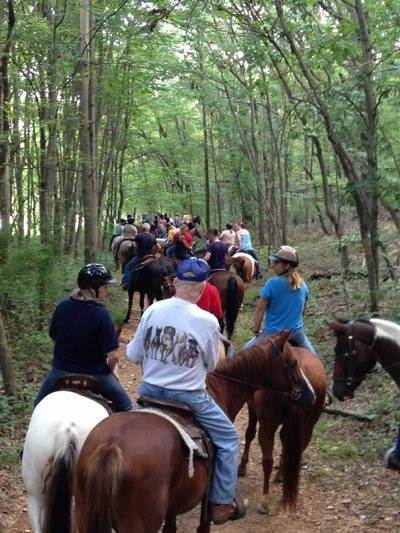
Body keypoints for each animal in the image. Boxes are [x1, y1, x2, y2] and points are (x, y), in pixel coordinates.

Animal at [73, 332, 314, 532]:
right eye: (293, 363)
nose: (310, 396)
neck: (221, 389)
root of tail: (110, 448)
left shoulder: (173, 504)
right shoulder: (205, 507)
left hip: (85, 516)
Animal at [238, 348, 324, 512]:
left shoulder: (252, 408)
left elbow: (249, 433)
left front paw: (242, 466)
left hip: (267, 424)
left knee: (267, 460)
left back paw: (264, 500)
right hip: (308, 427)